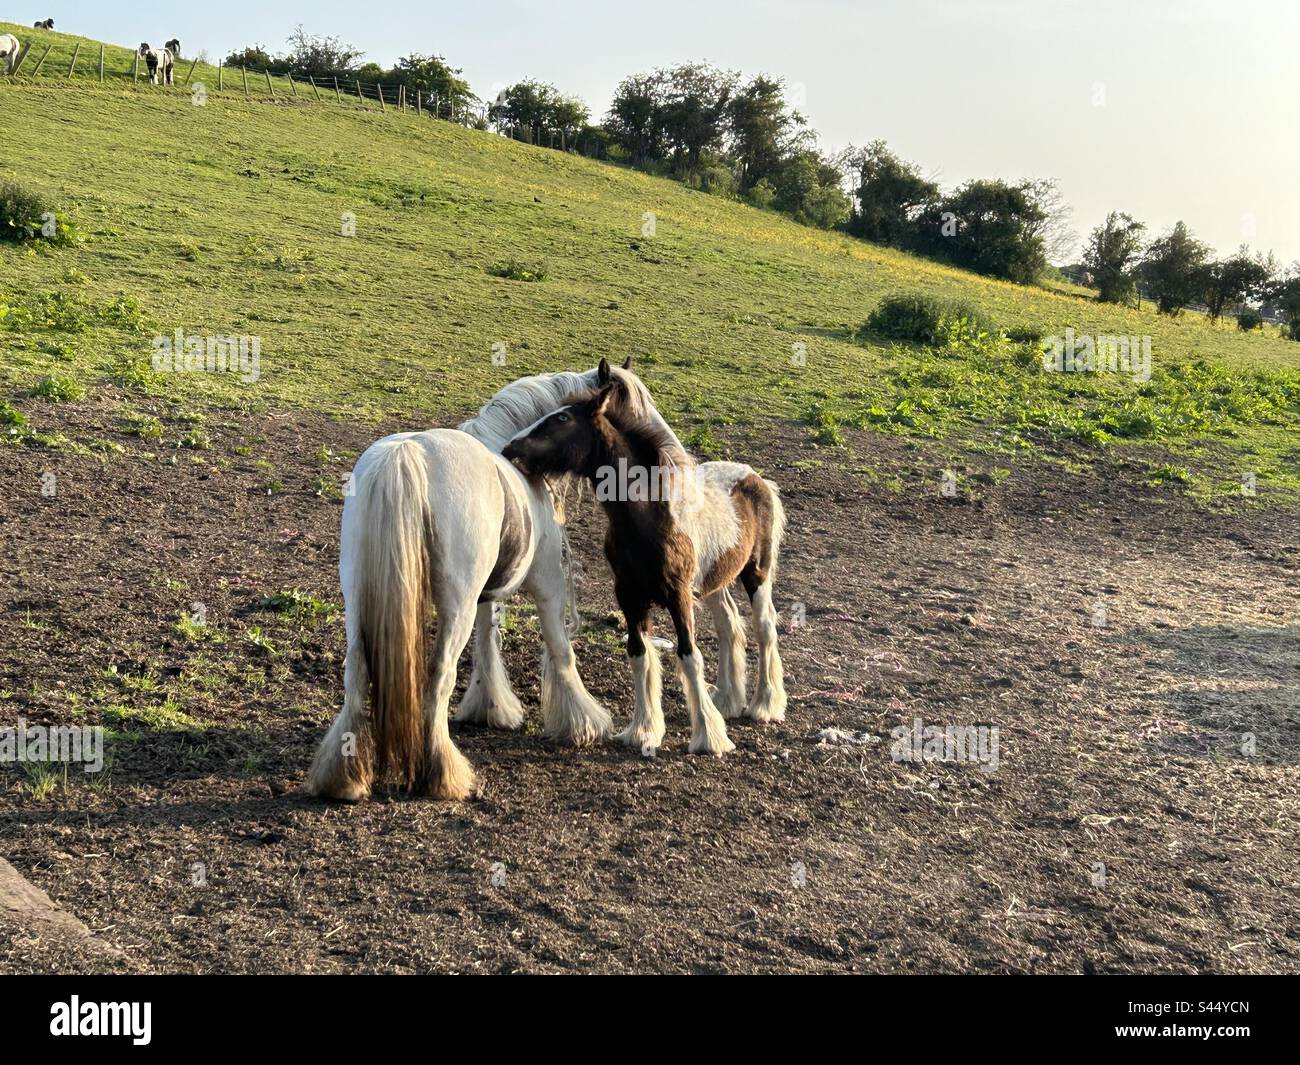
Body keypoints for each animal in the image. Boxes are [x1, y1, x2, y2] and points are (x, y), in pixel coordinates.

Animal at [305, 360, 679, 802]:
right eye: (633, 403)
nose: (669, 455)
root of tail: (405, 454)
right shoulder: (547, 583)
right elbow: (561, 651)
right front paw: (581, 722)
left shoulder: (485, 595)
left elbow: (486, 644)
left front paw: (489, 707)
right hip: (456, 604)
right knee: (439, 676)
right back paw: (442, 774)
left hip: (359, 597)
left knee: (356, 673)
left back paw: (343, 777)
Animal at [503, 361, 787, 756]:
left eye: (562, 419)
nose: (510, 449)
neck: (648, 515)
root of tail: (755, 477)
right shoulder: (630, 596)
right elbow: (639, 655)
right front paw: (643, 730)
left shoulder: (678, 596)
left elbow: (688, 655)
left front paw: (707, 737)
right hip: (715, 582)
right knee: (730, 626)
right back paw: (727, 702)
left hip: (756, 574)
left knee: (764, 626)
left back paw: (764, 705)